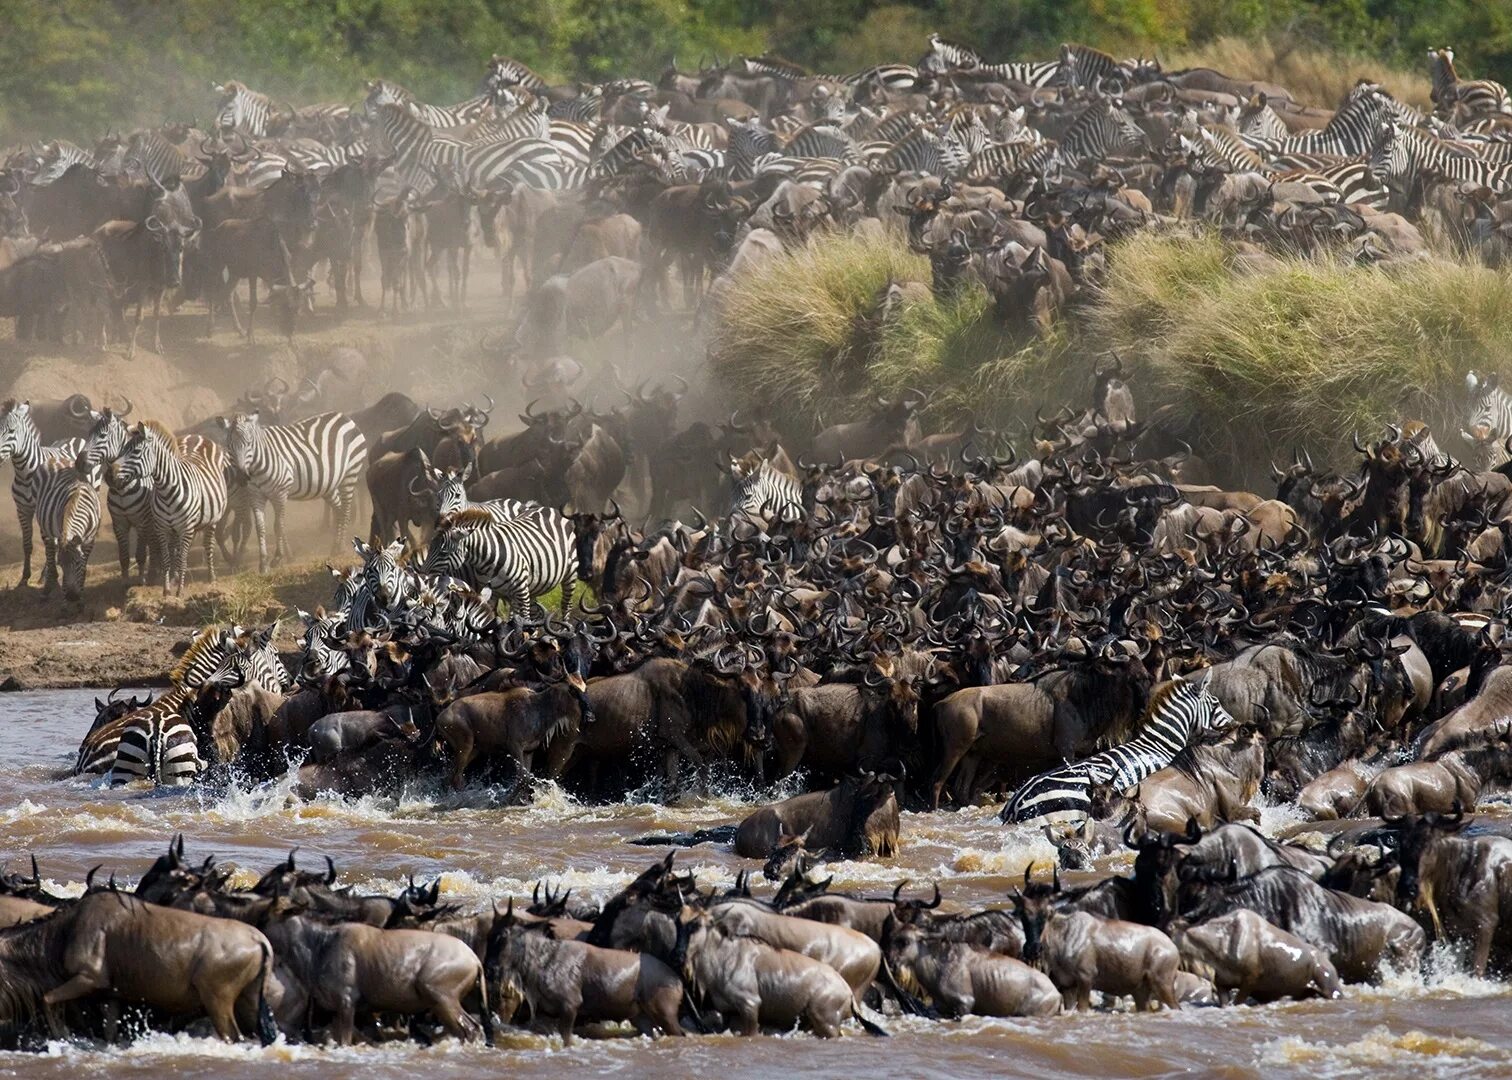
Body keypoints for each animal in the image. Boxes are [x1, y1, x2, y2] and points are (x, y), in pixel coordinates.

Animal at [0, 396, 85, 583]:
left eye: (11, 431)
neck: (25, 473)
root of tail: (76, 437)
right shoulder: (22, 509)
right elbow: (27, 544)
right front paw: (25, 577)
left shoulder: (42, 508)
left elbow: (49, 544)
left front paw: (49, 576)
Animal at [117, 420, 231, 592]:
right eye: (123, 450)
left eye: (136, 451)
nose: (115, 478)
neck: (166, 491)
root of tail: (196, 435)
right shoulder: (162, 528)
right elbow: (167, 558)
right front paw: (167, 587)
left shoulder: (185, 527)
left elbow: (182, 558)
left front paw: (179, 590)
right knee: (178, 549)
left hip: (212, 519)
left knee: (208, 545)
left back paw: (211, 577)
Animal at [219, 405, 368, 571]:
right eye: (229, 446)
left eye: (249, 443)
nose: (242, 477)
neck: (257, 465)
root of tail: (344, 417)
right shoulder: (256, 495)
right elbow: (260, 528)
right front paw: (263, 563)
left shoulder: (280, 493)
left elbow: (278, 525)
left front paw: (278, 557)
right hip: (328, 484)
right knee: (339, 509)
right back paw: (336, 545)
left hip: (350, 473)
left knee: (346, 509)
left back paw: (339, 547)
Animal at [420, 505, 577, 614]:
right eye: (430, 548)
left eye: (443, 552)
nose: (422, 576)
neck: (486, 561)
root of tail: (550, 509)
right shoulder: (493, 592)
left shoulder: (521, 590)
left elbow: (523, 620)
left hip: (570, 573)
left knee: (566, 605)